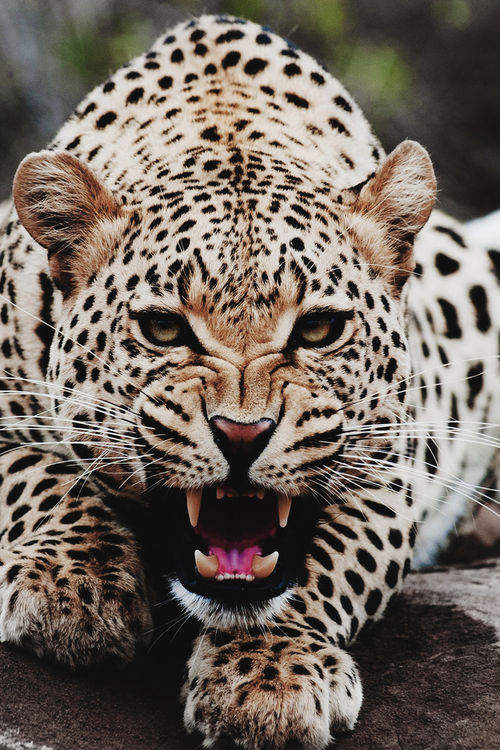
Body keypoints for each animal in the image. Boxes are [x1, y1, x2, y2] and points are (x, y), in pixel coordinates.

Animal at [0, 14, 498, 750]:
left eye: (319, 329)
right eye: (164, 329)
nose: (242, 434)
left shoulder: (397, 457)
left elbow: (330, 560)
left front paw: (269, 680)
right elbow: (33, 473)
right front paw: (76, 587)